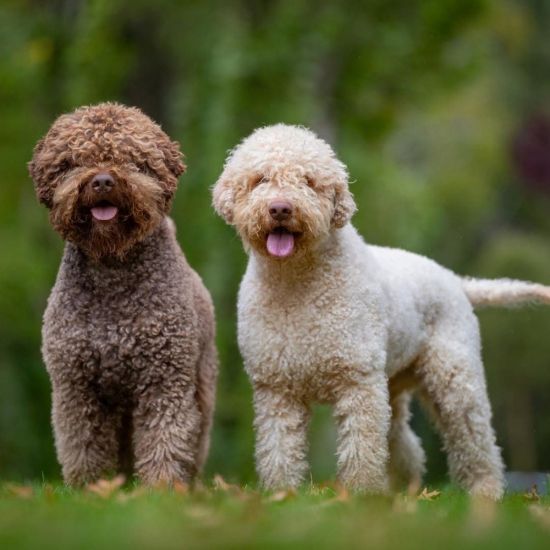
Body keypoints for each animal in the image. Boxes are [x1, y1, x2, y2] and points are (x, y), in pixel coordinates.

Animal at [28, 103, 218, 488]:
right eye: (74, 161)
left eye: (132, 160)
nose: (102, 180)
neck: (112, 272)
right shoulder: (76, 385)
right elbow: (83, 443)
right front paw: (90, 488)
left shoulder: (165, 379)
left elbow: (165, 438)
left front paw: (162, 488)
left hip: (200, 386)